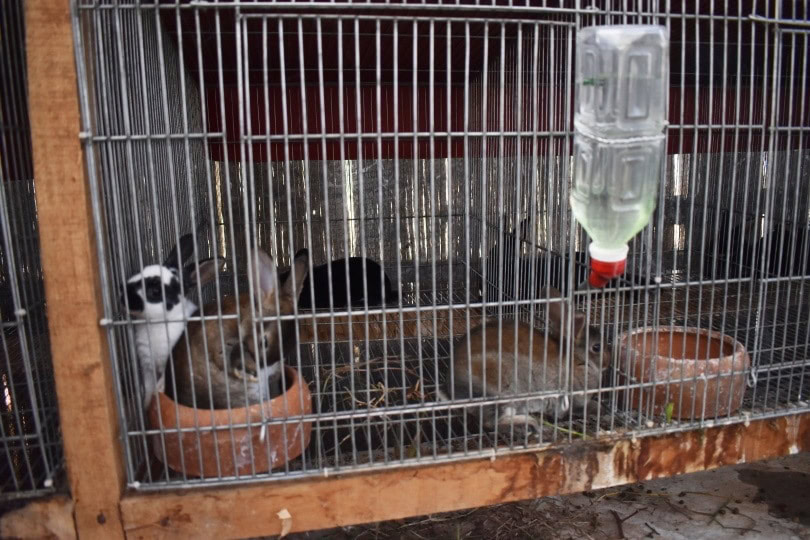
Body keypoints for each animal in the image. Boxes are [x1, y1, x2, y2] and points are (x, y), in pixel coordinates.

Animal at [121, 220, 225, 409]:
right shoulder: (147, 366)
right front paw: (146, 405)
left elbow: (162, 382)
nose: (122, 296)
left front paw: (159, 393)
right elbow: (147, 387)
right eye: (138, 272)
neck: (157, 323)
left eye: (155, 291)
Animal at [450, 287, 609, 436]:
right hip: (502, 390)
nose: (608, 362)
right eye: (597, 347)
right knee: (493, 422)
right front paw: (599, 409)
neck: (578, 359)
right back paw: (531, 425)